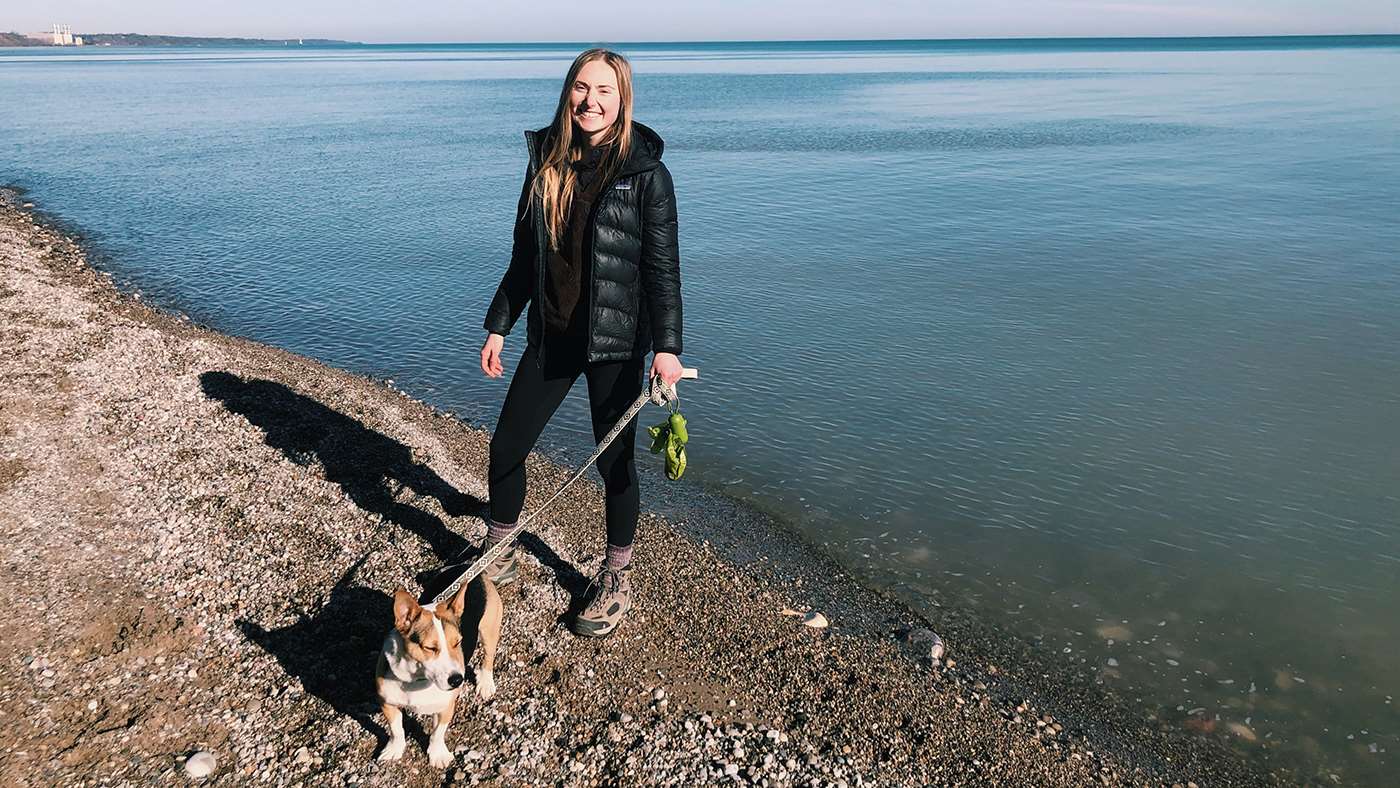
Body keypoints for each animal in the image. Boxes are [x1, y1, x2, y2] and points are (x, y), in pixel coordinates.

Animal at [375, 576, 501, 767]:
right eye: (430, 648)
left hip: (489, 632)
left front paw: (438, 755)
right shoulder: (387, 702)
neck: (417, 679)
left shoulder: (445, 707)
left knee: (488, 657)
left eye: (457, 642)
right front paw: (394, 749)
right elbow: (396, 730)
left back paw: (486, 684)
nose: (457, 680)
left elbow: (437, 733)